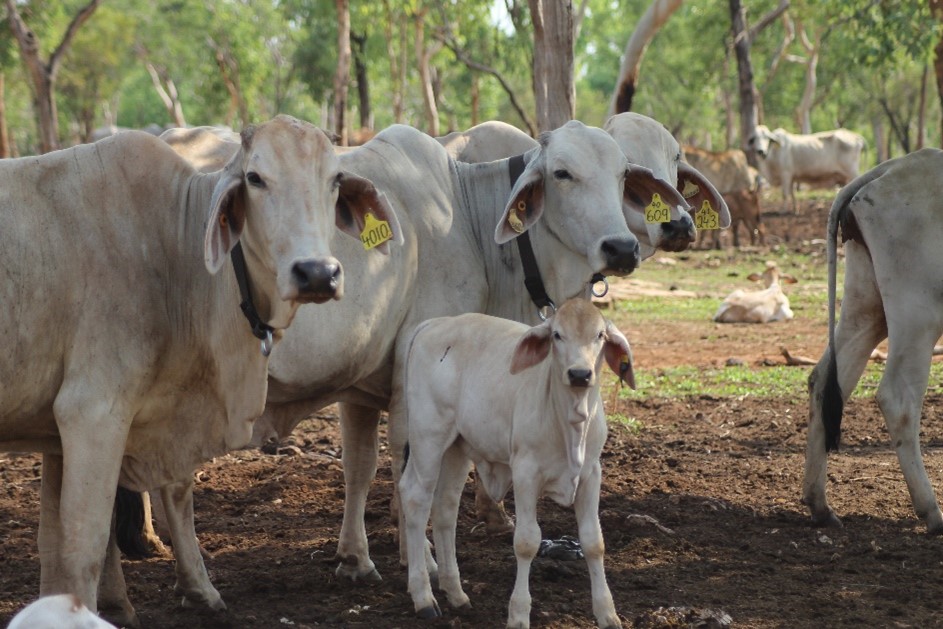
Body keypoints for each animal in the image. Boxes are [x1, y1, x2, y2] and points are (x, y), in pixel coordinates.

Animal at [0, 114, 398, 624]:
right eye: (255, 178)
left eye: (333, 179)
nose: (316, 273)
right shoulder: (91, 413)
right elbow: (82, 549)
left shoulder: (56, 434)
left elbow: (53, 551)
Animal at [398, 300, 636, 628]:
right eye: (557, 335)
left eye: (599, 335)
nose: (579, 374)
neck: (569, 423)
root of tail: (434, 324)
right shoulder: (525, 473)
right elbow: (526, 542)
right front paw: (519, 614)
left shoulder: (591, 474)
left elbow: (593, 542)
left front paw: (607, 613)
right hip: (427, 437)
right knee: (415, 499)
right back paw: (423, 597)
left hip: (456, 447)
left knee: (445, 508)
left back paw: (456, 593)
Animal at [804, 148, 943, 536]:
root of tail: (892, 167)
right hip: (918, 316)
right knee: (898, 398)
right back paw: (932, 512)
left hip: (867, 307)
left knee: (825, 379)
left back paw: (820, 505)